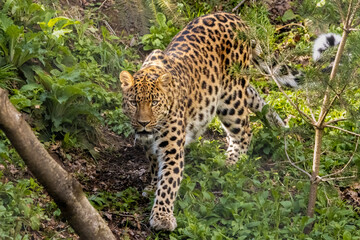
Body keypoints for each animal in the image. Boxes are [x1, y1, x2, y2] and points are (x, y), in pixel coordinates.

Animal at [121, 12, 300, 232]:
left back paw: (233, 159)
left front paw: (162, 217)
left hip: (230, 98)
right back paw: (278, 125)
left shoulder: (172, 148)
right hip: (233, 89)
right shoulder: (149, 145)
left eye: (154, 102)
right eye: (133, 102)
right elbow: (155, 168)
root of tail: (237, 18)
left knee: (245, 129)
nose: (143, 123)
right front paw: (153, 185)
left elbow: (169, 181)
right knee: (253, 94)